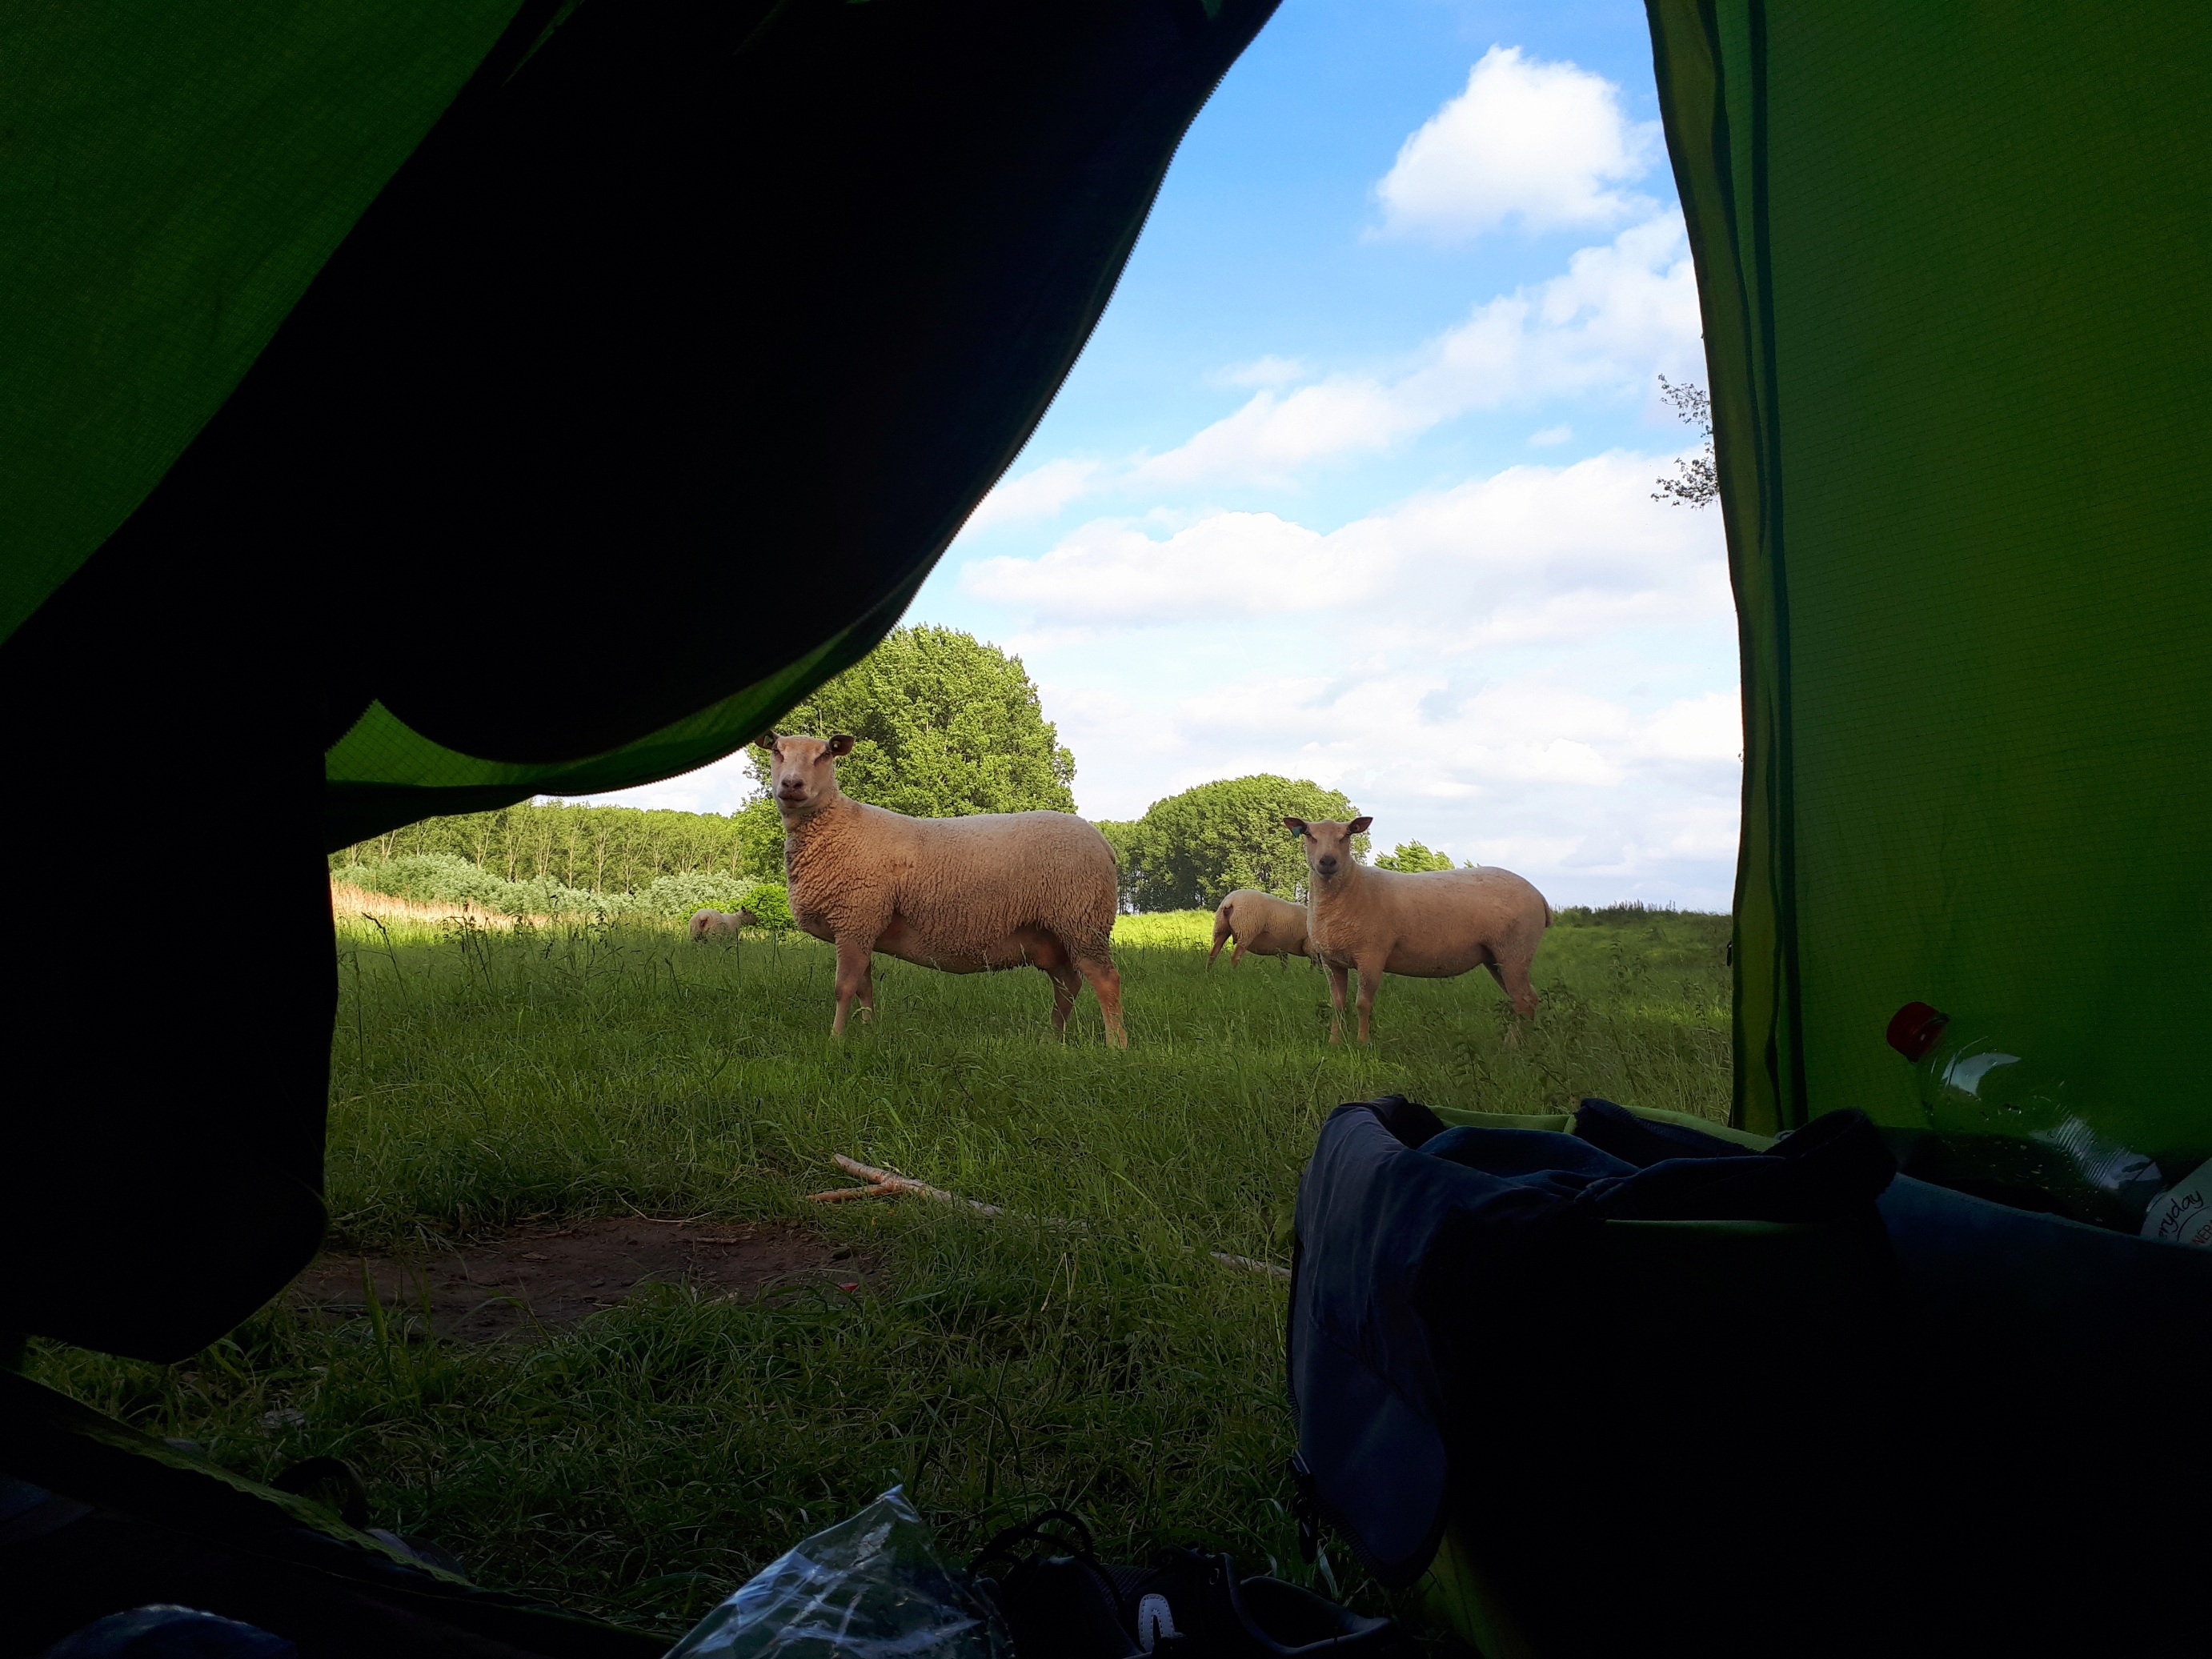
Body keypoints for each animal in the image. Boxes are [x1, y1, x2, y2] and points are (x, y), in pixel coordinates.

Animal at [769, 734, 1132, 1044]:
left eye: (825, 754)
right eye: (776, 750)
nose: (791, 784)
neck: (835, 826)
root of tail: (1103, 843)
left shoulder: (855, 918)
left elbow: (844, 988)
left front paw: (835, 1040)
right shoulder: (862, 923)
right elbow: (864, 987)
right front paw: (868, 1031)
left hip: (1081, 919)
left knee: (1105, 980)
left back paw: (1116, 1045)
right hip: (1053, 933)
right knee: (1067, 985)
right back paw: (1053, 1038)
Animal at [1283, 814, 1557, 1044]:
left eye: (1347, 835)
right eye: (1309, 834)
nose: (1327, 861)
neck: (1351, 888)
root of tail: (1539, 895)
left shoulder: (1372, 955)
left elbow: (1363, 1004)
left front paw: (1362, 1044)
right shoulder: (1332, 961)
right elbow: (1338, 1004)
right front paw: (1335, 1044)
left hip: (1515, 950)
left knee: (1524, 1001)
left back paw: (1514, 1047)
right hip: (1496, 957)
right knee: (1526, 999)